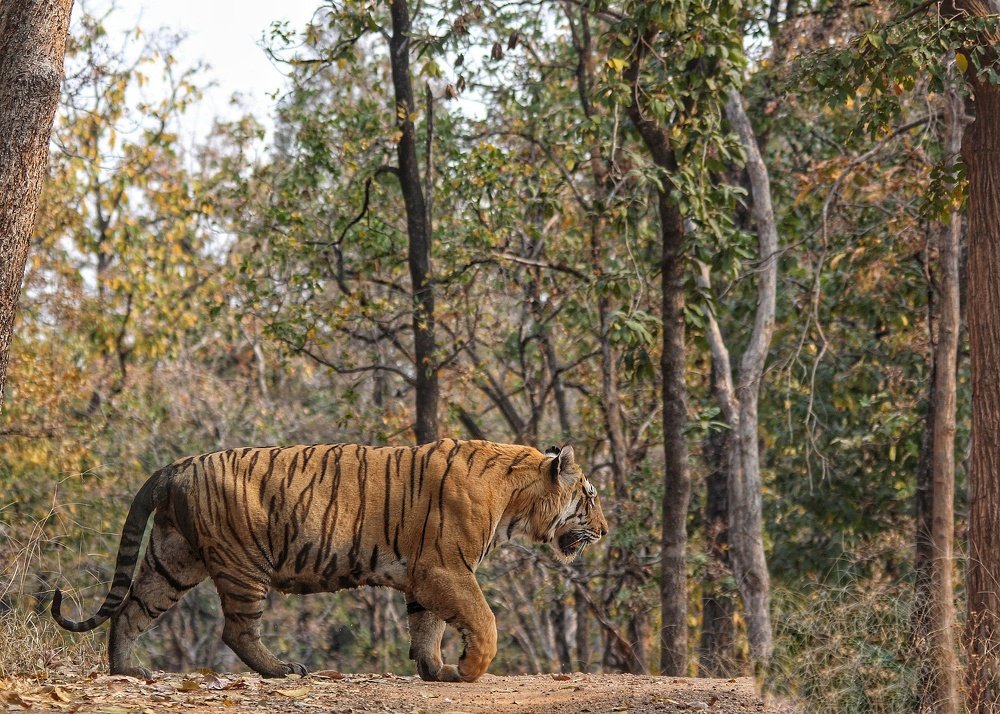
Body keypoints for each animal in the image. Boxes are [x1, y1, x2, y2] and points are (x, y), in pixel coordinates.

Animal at [51, 438, 608, 682]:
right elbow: (482, 619)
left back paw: (127, 670)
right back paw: (282, 670)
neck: (516, 500)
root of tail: (177, 465)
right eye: (590, 496)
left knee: (130, 610)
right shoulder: (445, 567)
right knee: (236, 630)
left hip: (174, 560)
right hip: (242, 564)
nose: (603, 532)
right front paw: (471, 669)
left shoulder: (424, 575)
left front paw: (436, 670)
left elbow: (427, 626)